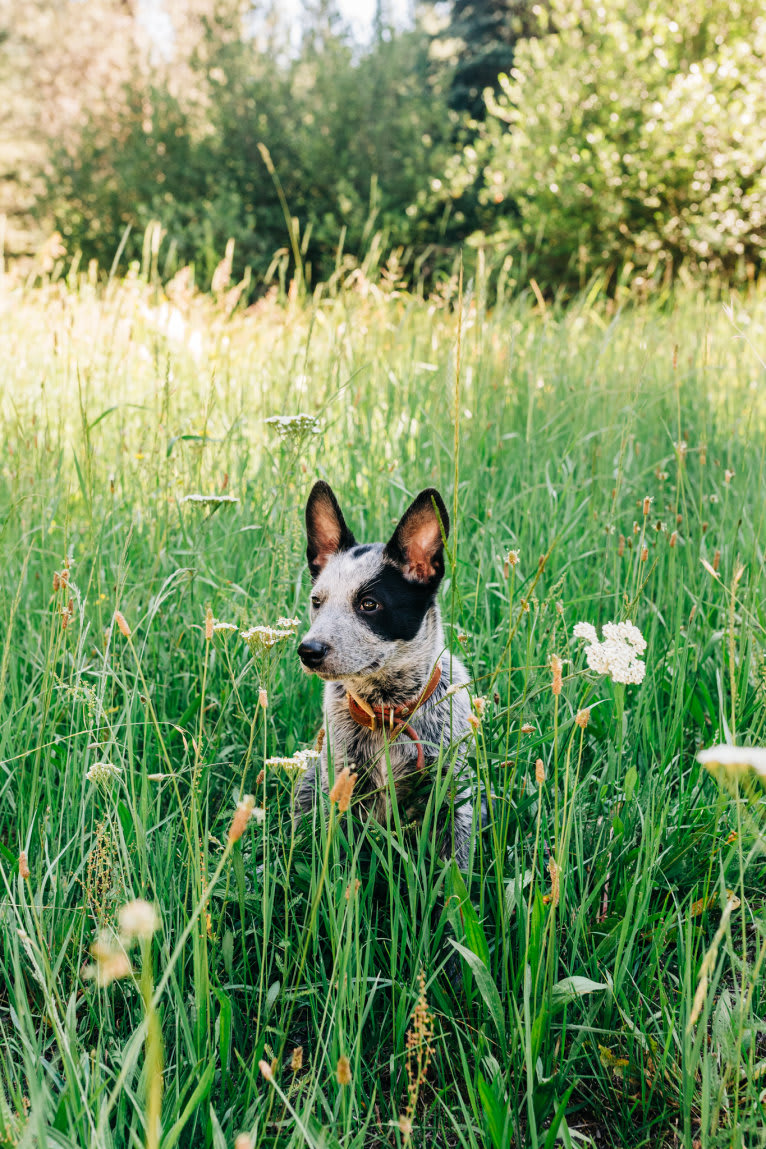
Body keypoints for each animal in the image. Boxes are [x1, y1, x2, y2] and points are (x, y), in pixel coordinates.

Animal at [291, 480, 473, 864]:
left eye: (369, 604)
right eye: (317, 601)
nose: (308, 650)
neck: (387, 710)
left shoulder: (452, 793)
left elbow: (454, 868)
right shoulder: (341, 783)